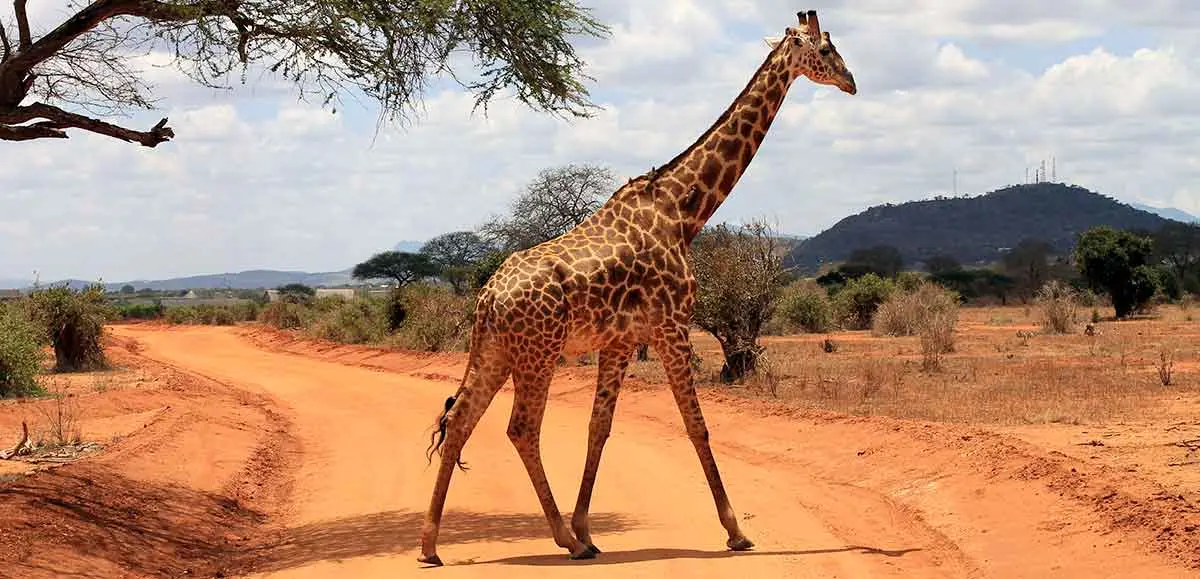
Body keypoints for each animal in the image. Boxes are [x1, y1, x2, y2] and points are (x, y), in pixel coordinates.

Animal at [417, 11, 859, 566]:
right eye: (826, 49)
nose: (852, 82)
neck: (684, 210)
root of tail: (487, 297)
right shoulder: (672, 324)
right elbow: (696, 424)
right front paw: (735, 531)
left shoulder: (621, 341)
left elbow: (599, 428)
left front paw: (587, 528)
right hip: (538, 353)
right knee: (520, 428)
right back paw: (561, 541)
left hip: (497, 350)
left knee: (459, 421)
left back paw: (431, 545)